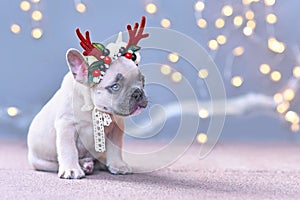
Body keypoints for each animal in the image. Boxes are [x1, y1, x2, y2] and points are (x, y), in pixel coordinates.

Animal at [27, 17, 149, 180]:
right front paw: (71, 169)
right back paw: (84, 165)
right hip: (41, 161)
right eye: (115, 86)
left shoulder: (116, 128)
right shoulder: (66, 126)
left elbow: (115, 148)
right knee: (56, 163)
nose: (138, 93)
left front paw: (117, 165)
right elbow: (68, 149)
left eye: (142, 81)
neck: (93, 108)